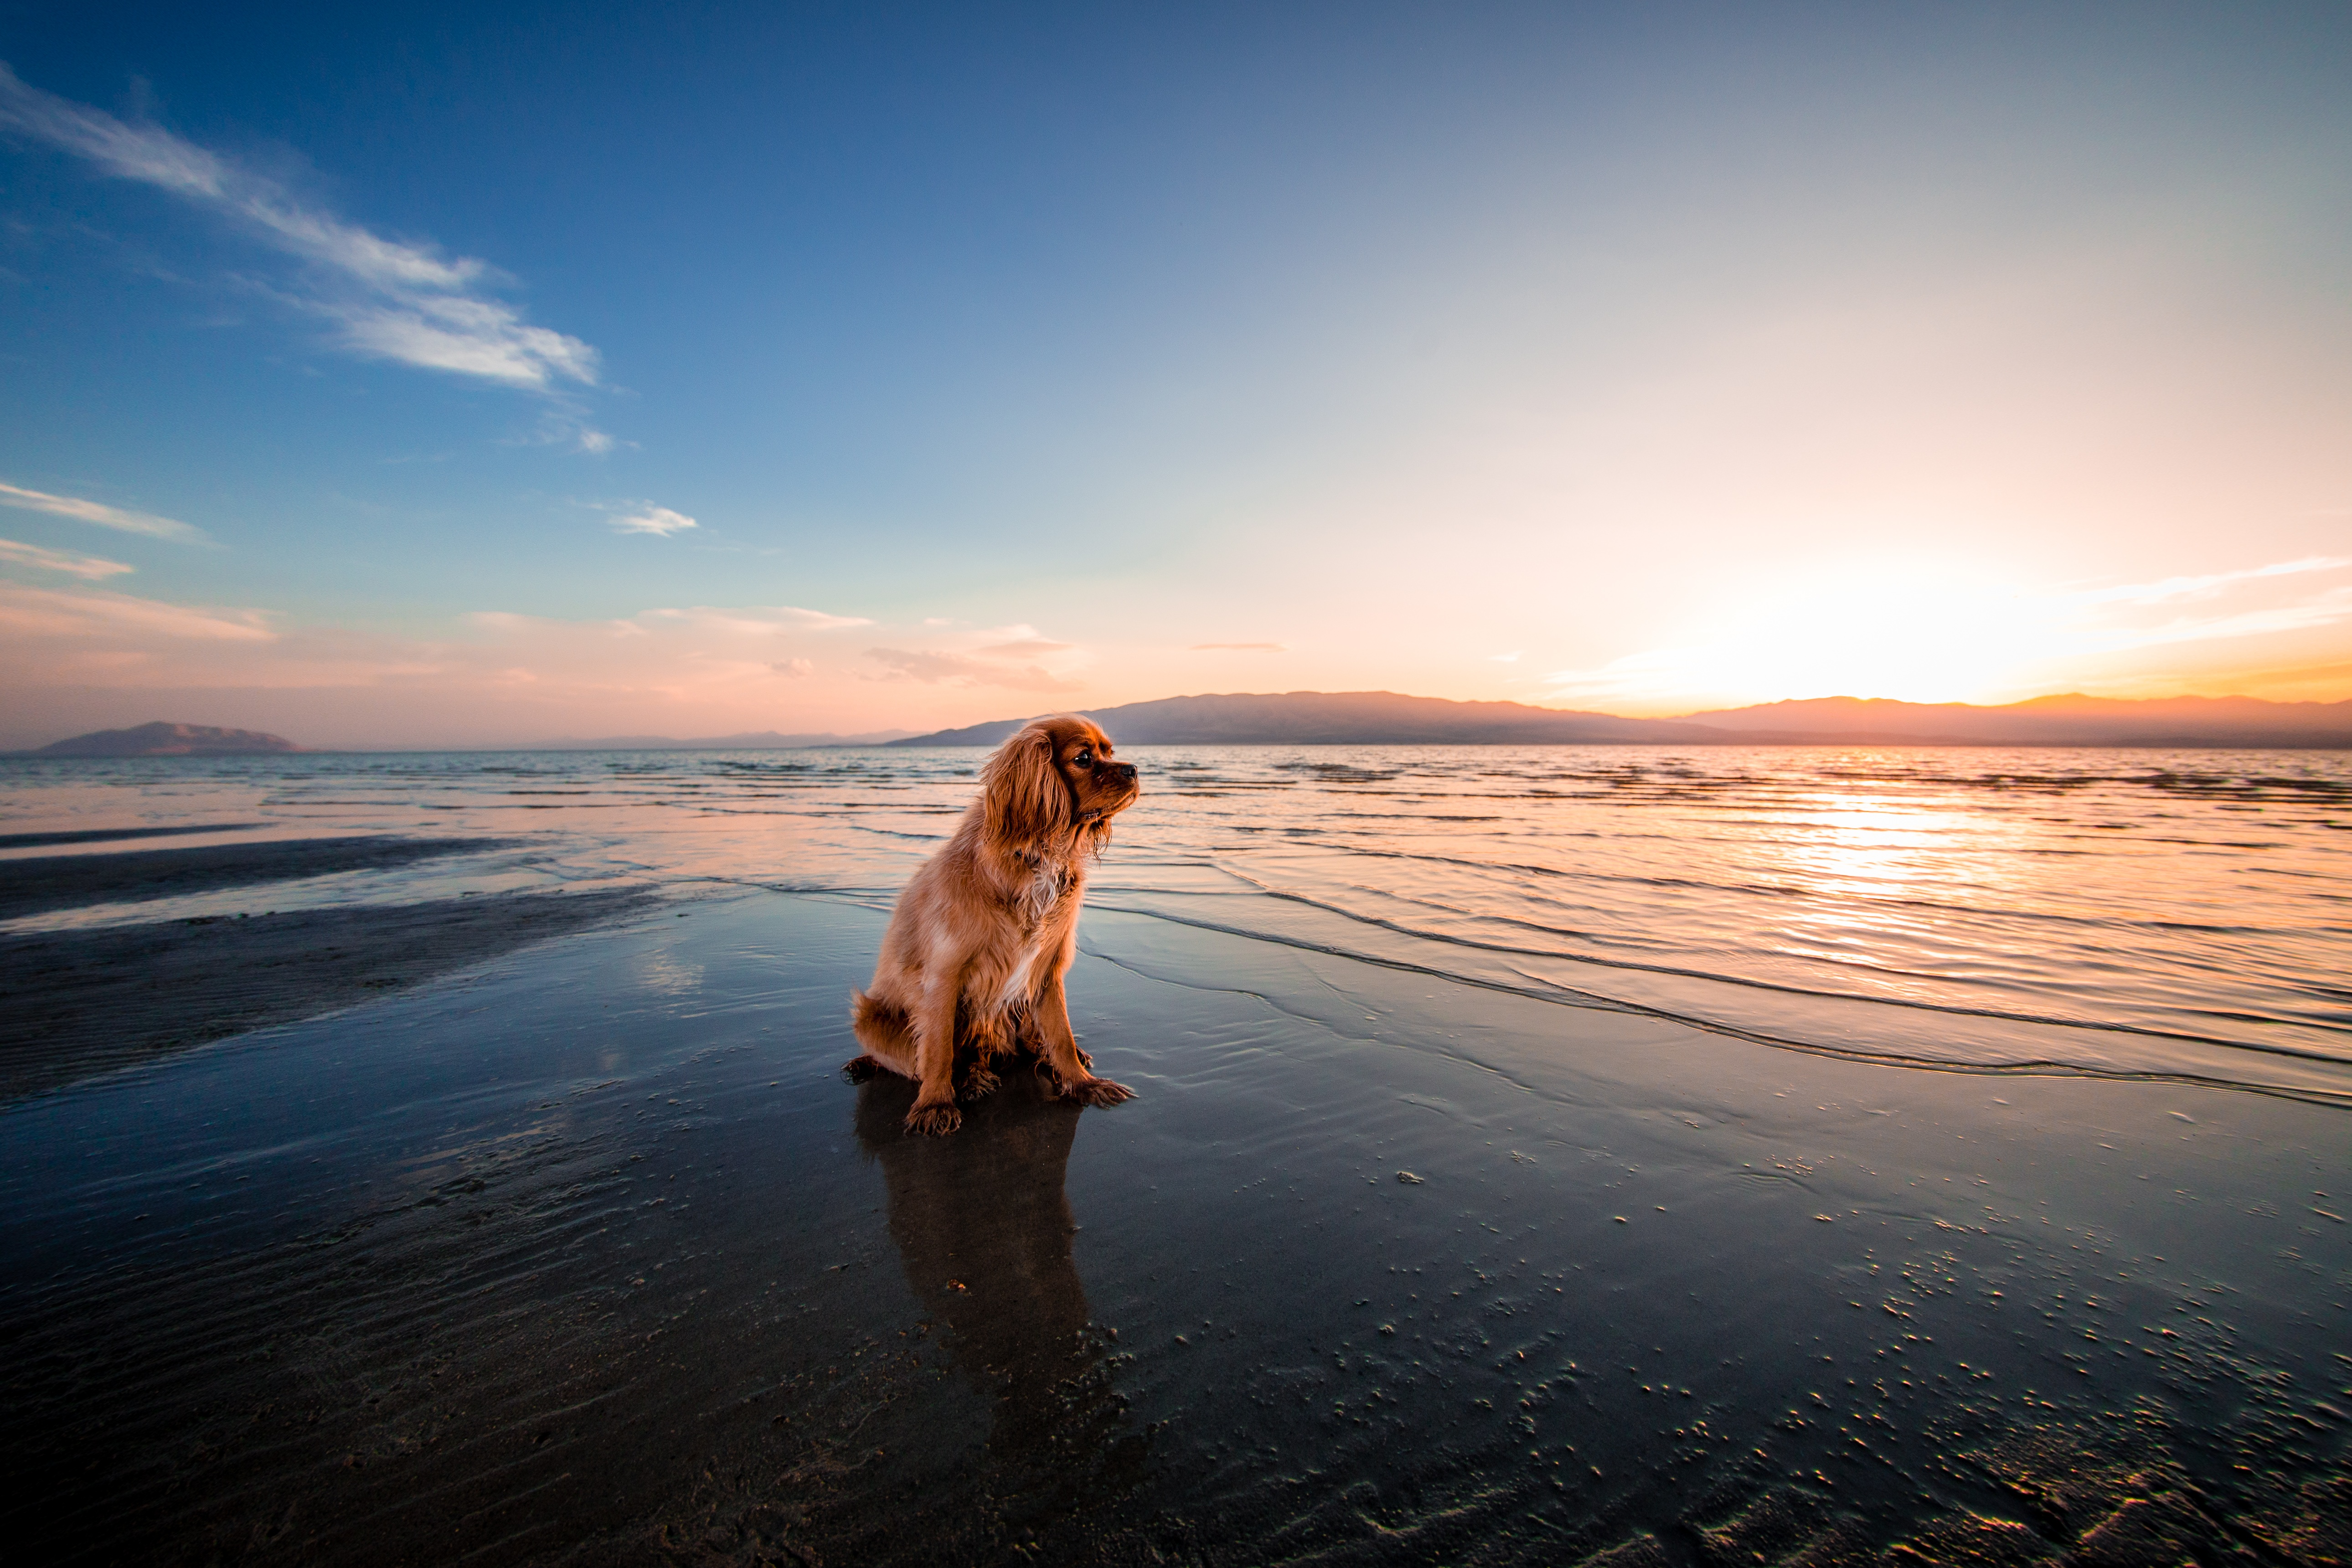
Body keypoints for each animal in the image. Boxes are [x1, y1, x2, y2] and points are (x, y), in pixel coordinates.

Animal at [846, 719, 1138, 1133]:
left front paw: (1082, 1083)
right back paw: (969, 1080)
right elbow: (938, 1049)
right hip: (871, 1020)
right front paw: (935, 1104)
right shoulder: (944, 975)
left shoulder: (1046, 970)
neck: (1038, 856)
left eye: (1110, 753)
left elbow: (1061, 1036)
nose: (1134, 770)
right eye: (1084, 758)